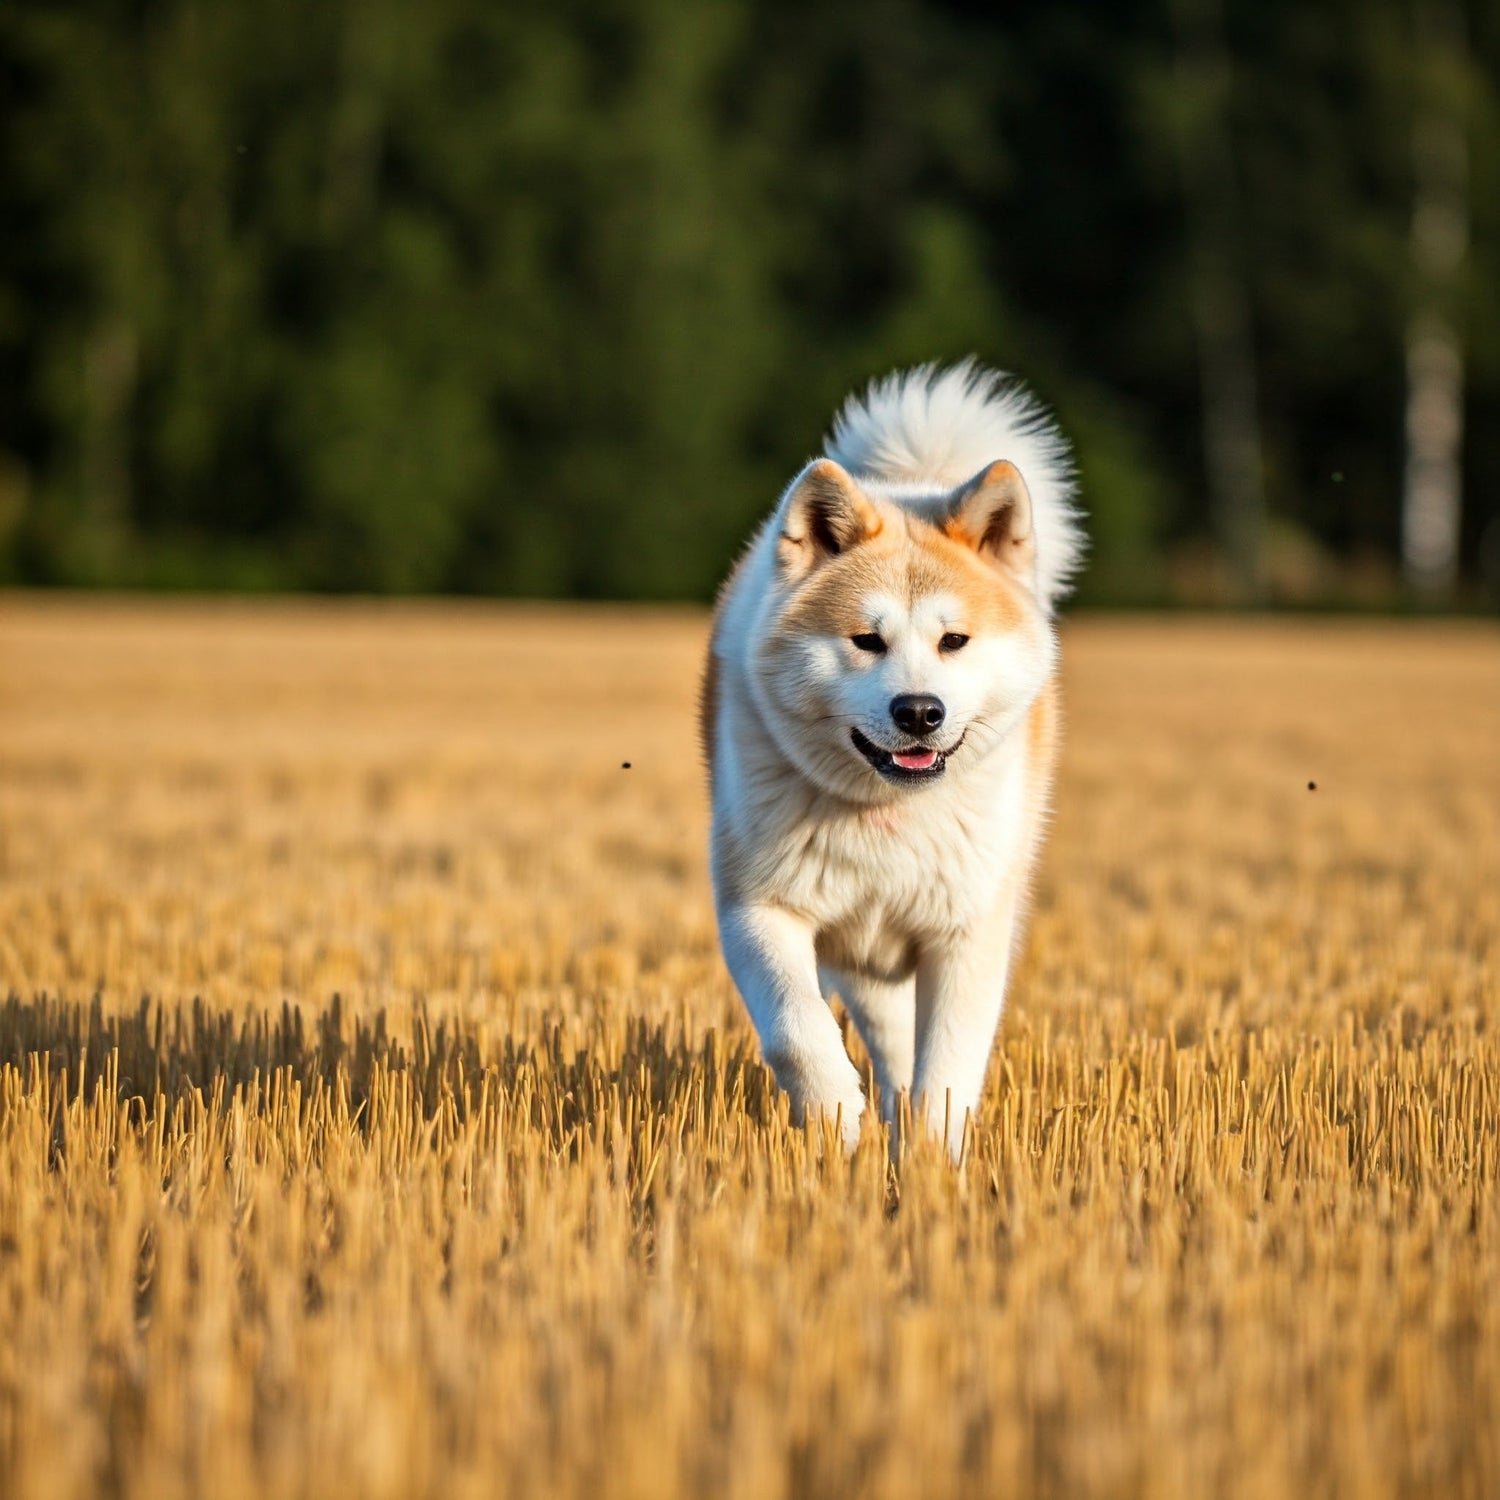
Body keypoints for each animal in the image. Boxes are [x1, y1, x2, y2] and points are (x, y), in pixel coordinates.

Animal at [699, 363, 1080, 1158]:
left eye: (954, 641)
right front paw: (838, 1126)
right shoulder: (758, 911)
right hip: (862, 959)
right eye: (866, 641)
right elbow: (798, 1033)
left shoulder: (966, 933)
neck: (889, 815)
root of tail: (912, 481)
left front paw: (931, 1162)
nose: (919, 712)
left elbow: (949, 1069)